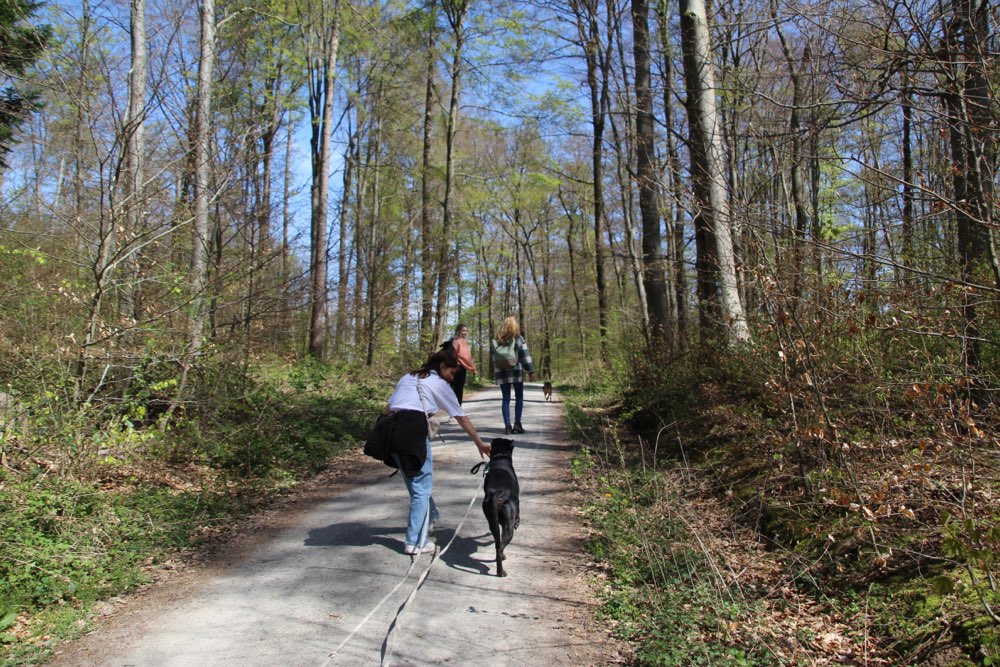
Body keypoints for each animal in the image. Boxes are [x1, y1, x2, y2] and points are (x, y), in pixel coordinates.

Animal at [480, 438, 520, 576]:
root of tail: (497, 494)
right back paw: (501, 570)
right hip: (508, 527)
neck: (500, 457)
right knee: (500, 547)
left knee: (497, 544)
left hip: (492, 522)